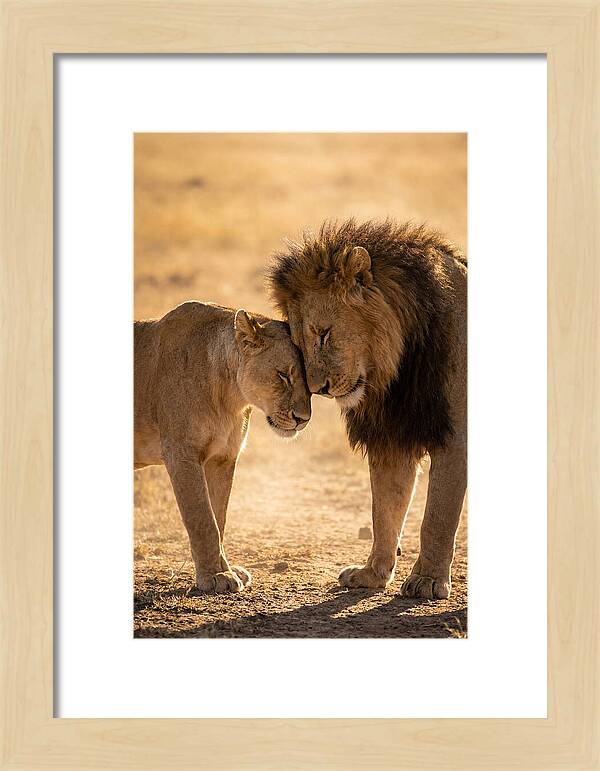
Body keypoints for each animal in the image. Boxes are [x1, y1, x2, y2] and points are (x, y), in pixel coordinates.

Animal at [134, 301, 312, 593]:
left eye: (312, 383)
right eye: (283, 375)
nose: (303, 419)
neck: (230, 397)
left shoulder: (222, 458)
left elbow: (219, 518)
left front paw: (226, 569)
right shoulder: (181, 454)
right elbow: (203, 519)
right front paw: (215, 576)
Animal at [268, 219, 467, 599]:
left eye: (324, 334)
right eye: (298, 344)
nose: (319, 389)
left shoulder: (456, 438)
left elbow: (437, 515)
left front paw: (427, 580)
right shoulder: (392, 438)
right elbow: (384, 510)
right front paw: (373, 574)